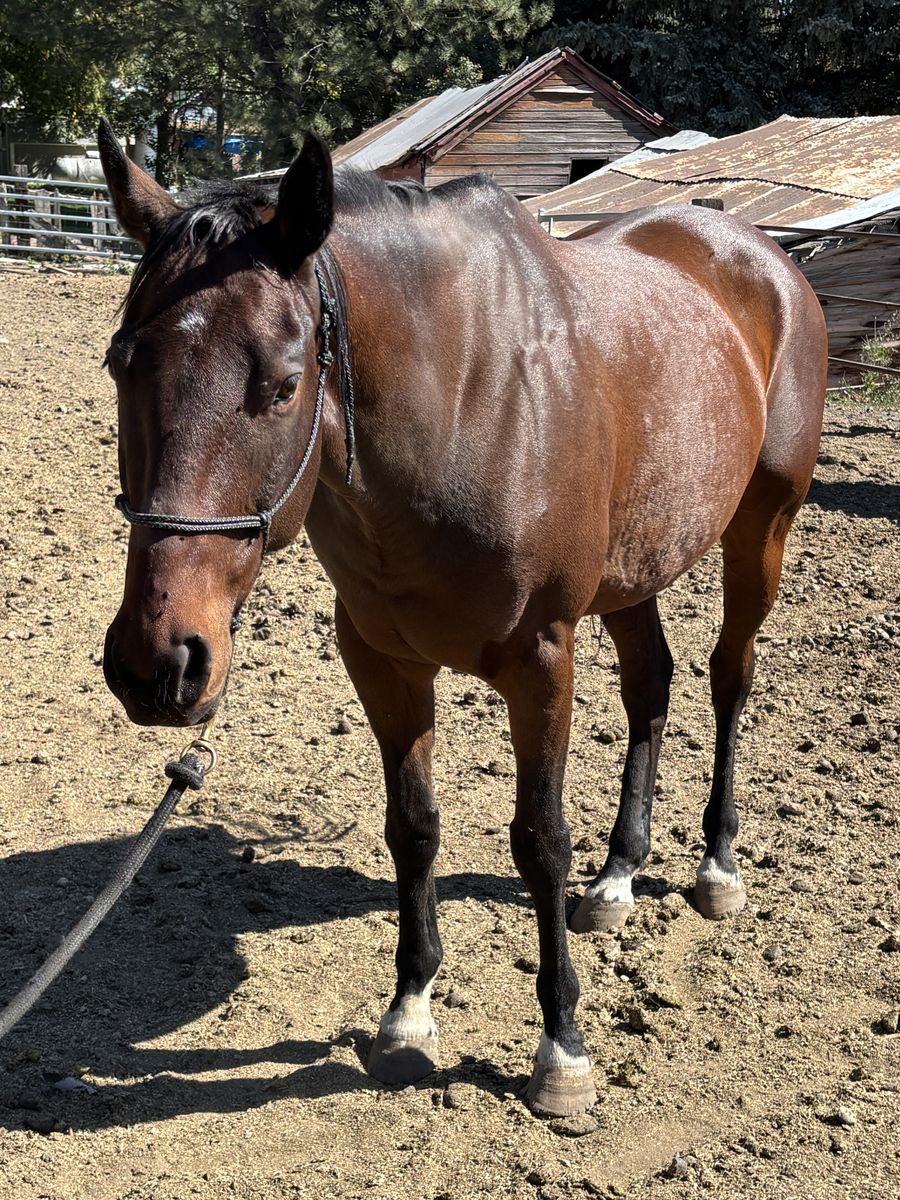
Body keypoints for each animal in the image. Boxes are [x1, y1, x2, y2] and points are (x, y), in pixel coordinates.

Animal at [96, 119, 826, 1117]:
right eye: (119, 363)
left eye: (282, 385)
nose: (157, 663)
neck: (464, 401)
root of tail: (760, 253)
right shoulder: (381, 659)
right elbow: (413, 826)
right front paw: (408, 1013)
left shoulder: (542, 659)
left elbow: (539, 841)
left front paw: (562, 1048)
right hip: (634, 570)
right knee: (651, 687)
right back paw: (618, 878)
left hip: (762, 528)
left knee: (728, 677)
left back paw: (716, 866)